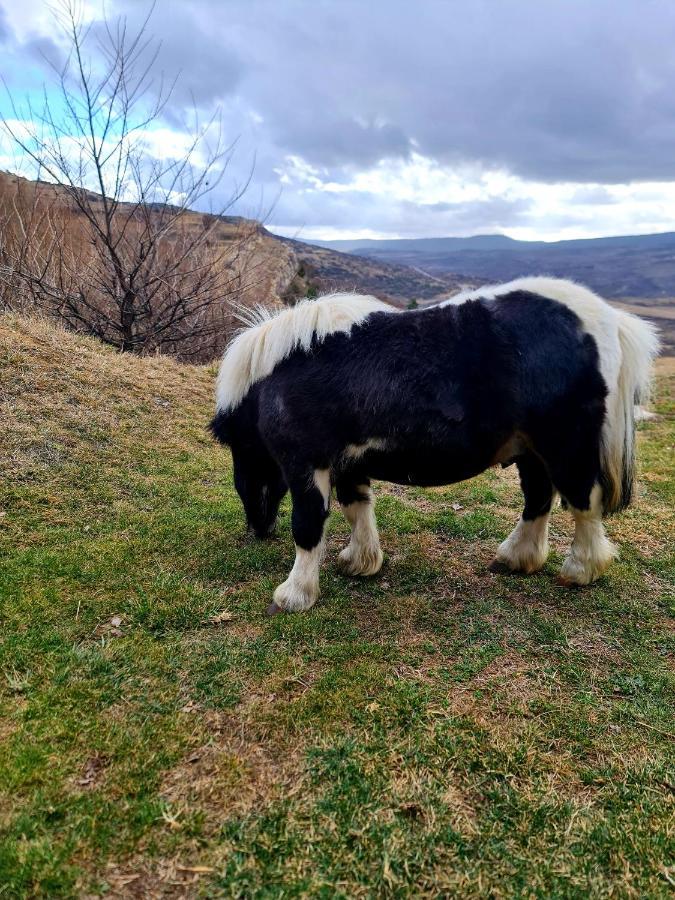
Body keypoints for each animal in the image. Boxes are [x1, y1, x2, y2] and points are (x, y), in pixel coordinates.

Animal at [211, 278, 660, 616]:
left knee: (584, 502)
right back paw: (517, 558)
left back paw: (580, 569)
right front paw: (360, 561)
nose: (258, 528)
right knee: (538, 499)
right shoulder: (348, 462)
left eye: (241, 453)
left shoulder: (306, 464)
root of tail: (607, 320)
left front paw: (294, 594)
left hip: (566, 446)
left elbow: (307, 526)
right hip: (530, 451)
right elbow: (357, 508)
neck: (283, 371)